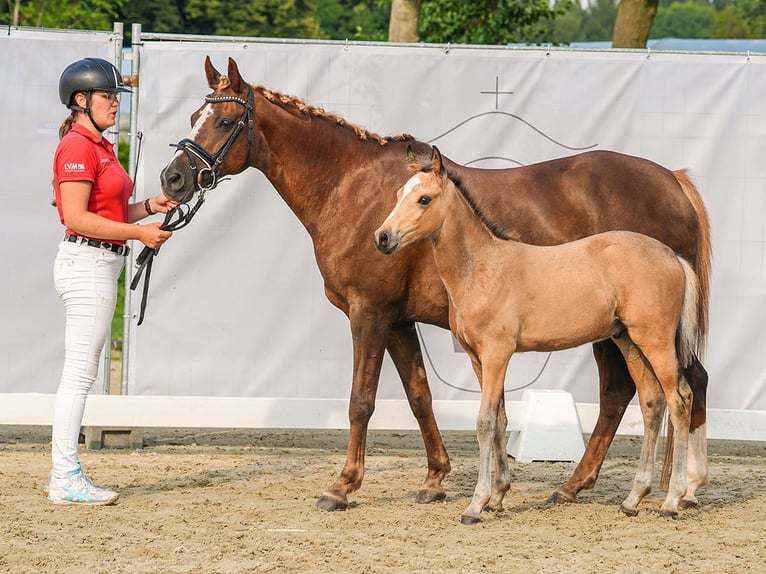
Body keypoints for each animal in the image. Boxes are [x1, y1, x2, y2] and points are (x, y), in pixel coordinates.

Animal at [374, 148, 704, 528]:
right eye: (399, 194)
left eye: (424, 199)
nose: (382, 238)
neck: (483, 268)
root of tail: (672, 256)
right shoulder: (478, 358)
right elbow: (501, 419)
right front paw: (498, 497)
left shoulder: (497, 354)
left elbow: (485, 422)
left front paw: (476, 505)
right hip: (629, 343)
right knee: (652, 402)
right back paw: (633, 500)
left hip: (657, 341)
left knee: (680, 399)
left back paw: (673, 500)